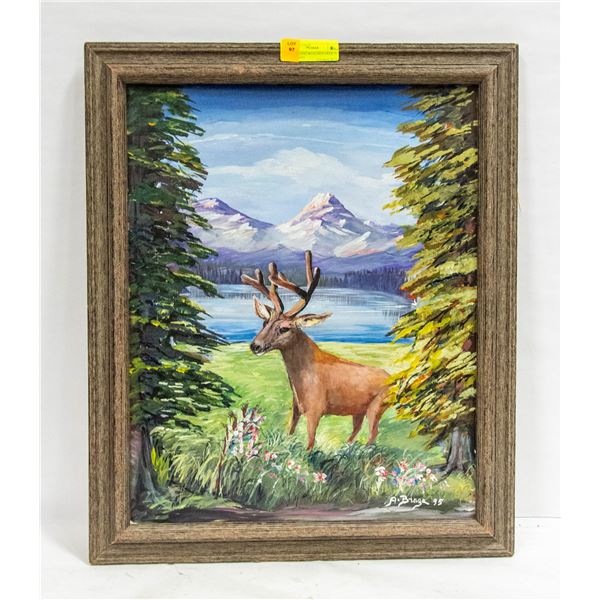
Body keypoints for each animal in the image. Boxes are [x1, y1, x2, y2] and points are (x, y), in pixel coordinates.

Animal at [241, 250, 390, 450]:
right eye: (265, 322)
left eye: (284, 328)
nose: (255, 345)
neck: (301, 382)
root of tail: (393, 378)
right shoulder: (296, 407)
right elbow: (289, 432)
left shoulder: (315, 409)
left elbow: (310, 444)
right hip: (358, 410)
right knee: (357, 430)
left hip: (377, 406)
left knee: (373, 435)